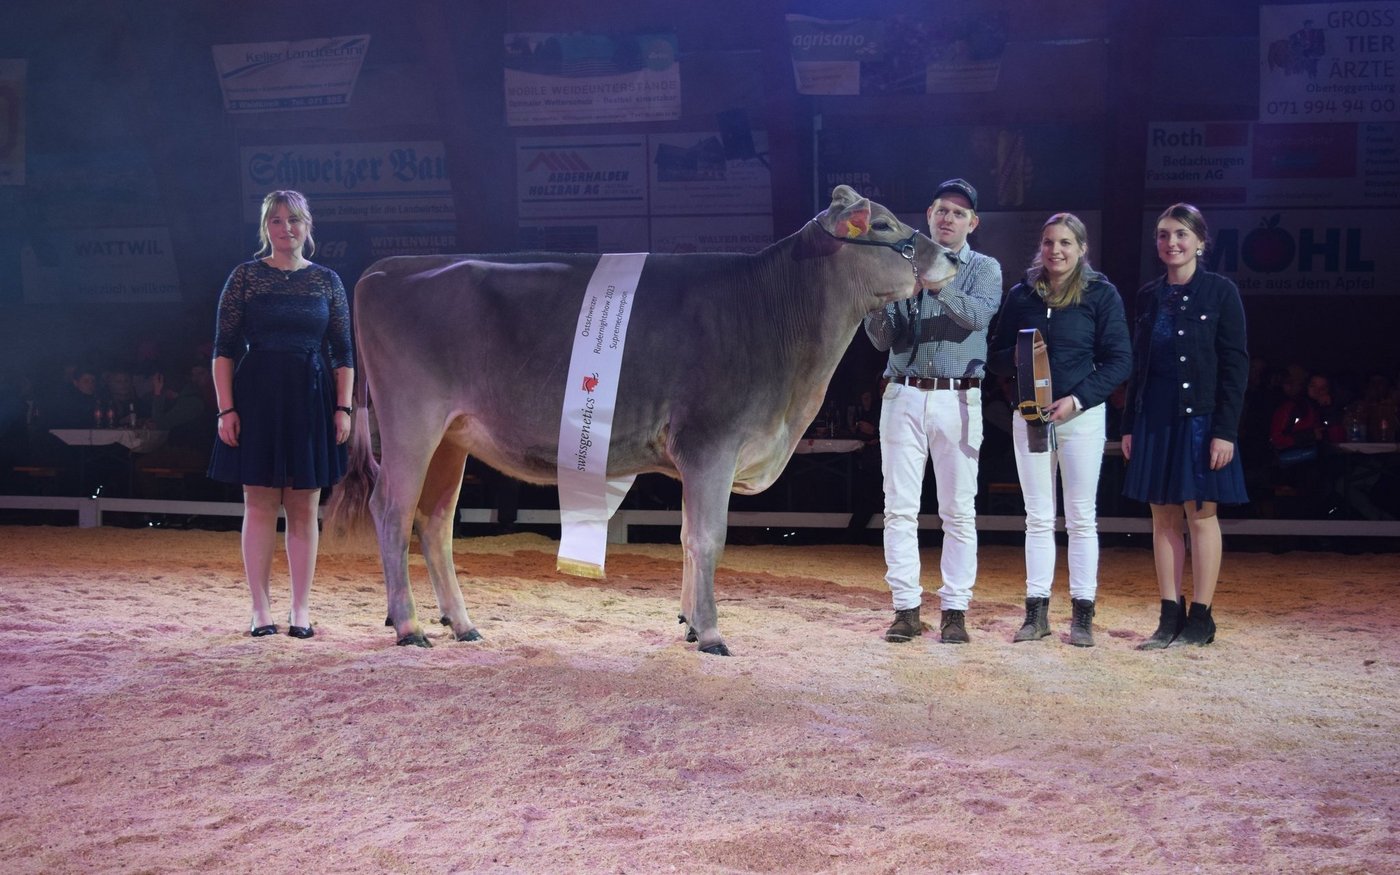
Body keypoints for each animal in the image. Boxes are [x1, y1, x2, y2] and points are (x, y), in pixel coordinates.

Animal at [324, 185, 958, 655]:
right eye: (883, 227)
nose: (951, 258)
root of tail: (388, 267)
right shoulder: (710, 443)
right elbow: (708, 538)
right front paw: (711, 633)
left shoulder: (698, 457)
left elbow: (685, 538)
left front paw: (689, 623)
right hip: (410, 422)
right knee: (392, 509)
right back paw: (408, 625)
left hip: (453, 437)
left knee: (434, 521)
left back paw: (461, 624)